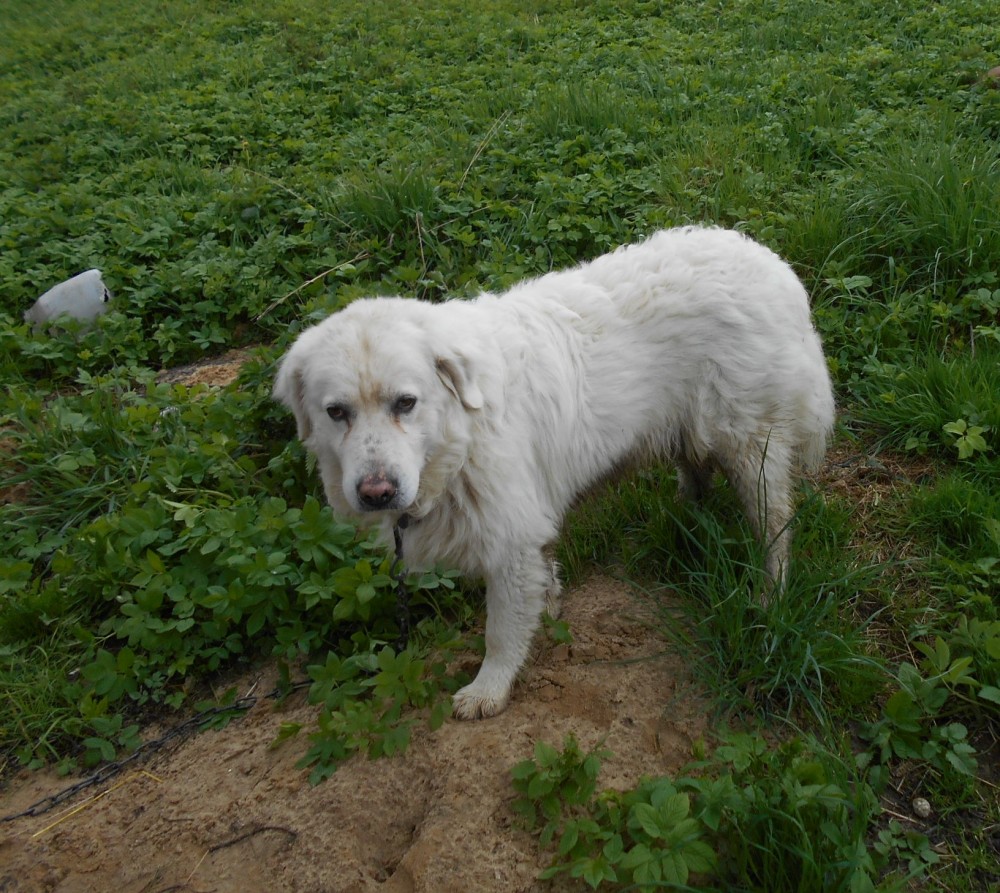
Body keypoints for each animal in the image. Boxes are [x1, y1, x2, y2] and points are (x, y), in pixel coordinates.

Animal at [273, 226, 835, 719]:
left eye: (405, 403)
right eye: (336, 412)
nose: (377, 493)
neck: (461, 433)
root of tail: (775, 267)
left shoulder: (509, 538)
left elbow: (500, 631)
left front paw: (489, 689)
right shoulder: (526, 528)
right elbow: (541, 579)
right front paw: (547, 611)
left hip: (749, 446)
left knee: (775, 527)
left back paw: (768, 598)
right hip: (689, 431)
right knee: (697, 479)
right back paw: (686, 527)